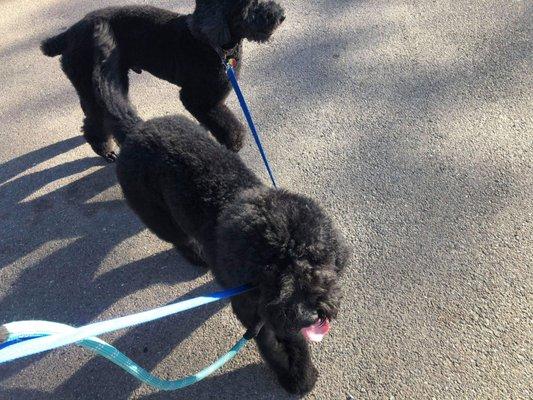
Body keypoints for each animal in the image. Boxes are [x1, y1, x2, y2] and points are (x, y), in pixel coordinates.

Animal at [40, 1, 284, 161]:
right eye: (251, 4)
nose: (281, 15)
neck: (210, 44)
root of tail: (68, 34)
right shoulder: (197, 99)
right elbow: (226, 123)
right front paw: (233, 142)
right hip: (94, 84)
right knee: (95, 120)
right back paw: (105, 149)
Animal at [93, 21, 348, 394]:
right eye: (271, 269)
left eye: (316, 258)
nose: (310, 312)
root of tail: (137, 129)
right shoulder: (258, 315)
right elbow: (274, 347)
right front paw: (293, 378)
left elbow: (294, 341)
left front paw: (302, 374)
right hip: (156, 215)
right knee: (178, 238)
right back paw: (196, 256)